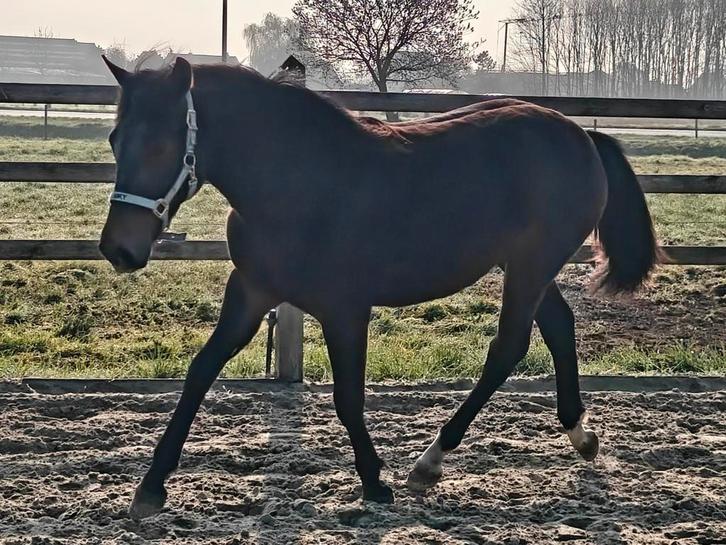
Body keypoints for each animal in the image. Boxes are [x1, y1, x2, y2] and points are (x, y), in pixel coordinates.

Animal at [98, 57, 660, 519]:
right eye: (114, 140)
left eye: (162, 144)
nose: (118, 249)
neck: (298, 183)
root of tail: (581, 136)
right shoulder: (251, 292)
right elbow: (200, 372)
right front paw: (150, 487)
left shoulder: (346, 309)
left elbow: (348, 397)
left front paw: (374, 481)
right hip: (526, 267)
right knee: (559, 326)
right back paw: (581, 436)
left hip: (531, 265)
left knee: (508, 347)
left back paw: (430, 462)